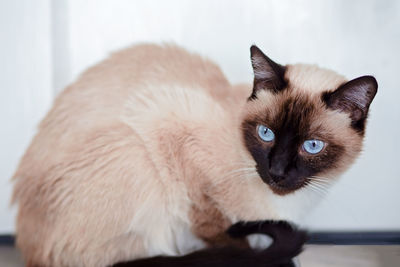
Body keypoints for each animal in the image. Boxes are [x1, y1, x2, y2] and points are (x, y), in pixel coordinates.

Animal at [10, 44, 376, 267]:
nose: (277, 171)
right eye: (265, 134)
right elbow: (219, 232)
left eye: (311, 146)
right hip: (135, 154)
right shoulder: (175, 134)